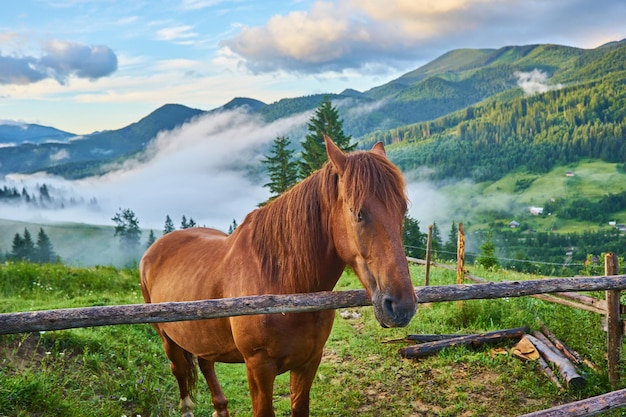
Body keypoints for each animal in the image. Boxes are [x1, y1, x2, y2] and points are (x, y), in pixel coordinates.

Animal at [139, 135, 416, 414]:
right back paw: (187, 407)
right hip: (167, 338)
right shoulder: (258, 368)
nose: (401, 306)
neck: (286, 289)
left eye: (402, 210)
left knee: (206, 363)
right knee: (178, 368)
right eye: (358, 213)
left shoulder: (309, 361)